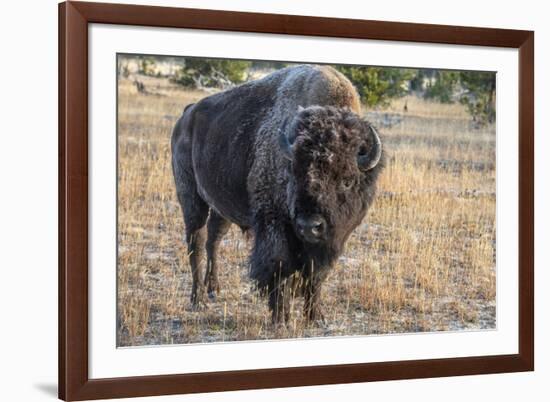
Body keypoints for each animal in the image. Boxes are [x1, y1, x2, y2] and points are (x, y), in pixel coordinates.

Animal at [172, 65, 384, 324]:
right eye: (294, 174)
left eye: (347, 180)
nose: (309, 226)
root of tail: (187, 115)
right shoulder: (275, 225)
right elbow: (280, 267)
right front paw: (281, 317)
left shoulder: (326, 241)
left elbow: (316, 274)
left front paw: (316, 316)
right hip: (191, 198)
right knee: (197, 243)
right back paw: (198, 299)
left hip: (220, 207)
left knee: (214, 239)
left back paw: (214, 289)